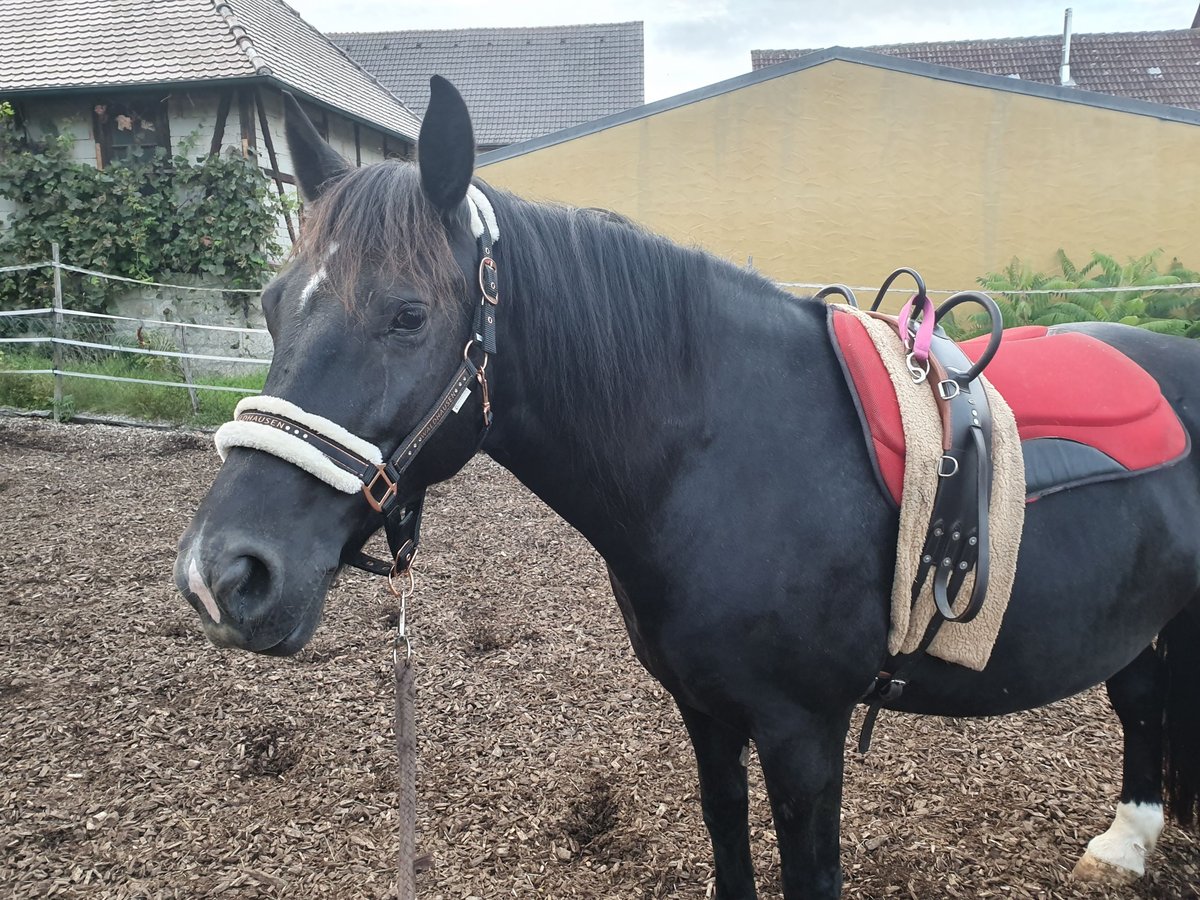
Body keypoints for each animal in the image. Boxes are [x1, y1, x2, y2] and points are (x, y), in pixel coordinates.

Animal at [175, 81, 1200, 897]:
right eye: (271, 306)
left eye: (408, 315)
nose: (223, 575)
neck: (720, 454)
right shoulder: (706, 715)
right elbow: (725, 839)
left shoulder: (803, 736)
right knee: (1145, 696)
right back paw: (1131, 838)